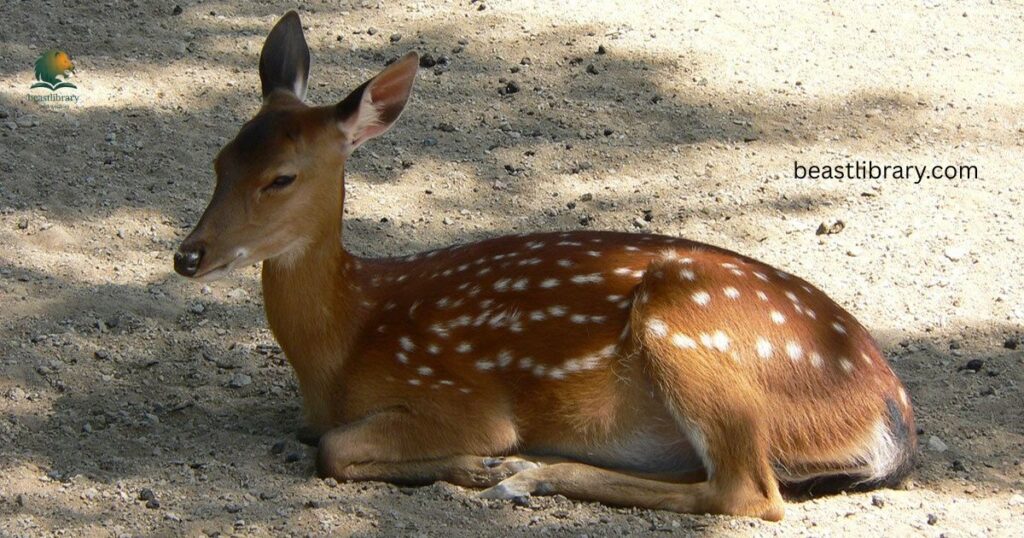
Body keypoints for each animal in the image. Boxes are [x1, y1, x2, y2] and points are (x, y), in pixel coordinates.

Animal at [173, 11, 916, 521]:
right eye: (219, 159)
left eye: (282, 177)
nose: (188, 254)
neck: (347, 336)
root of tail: (891, 411)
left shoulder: (458, 394)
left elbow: (333, 449)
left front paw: (476, 465)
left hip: (689, 331)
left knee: (749, 491)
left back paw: (527, 473)